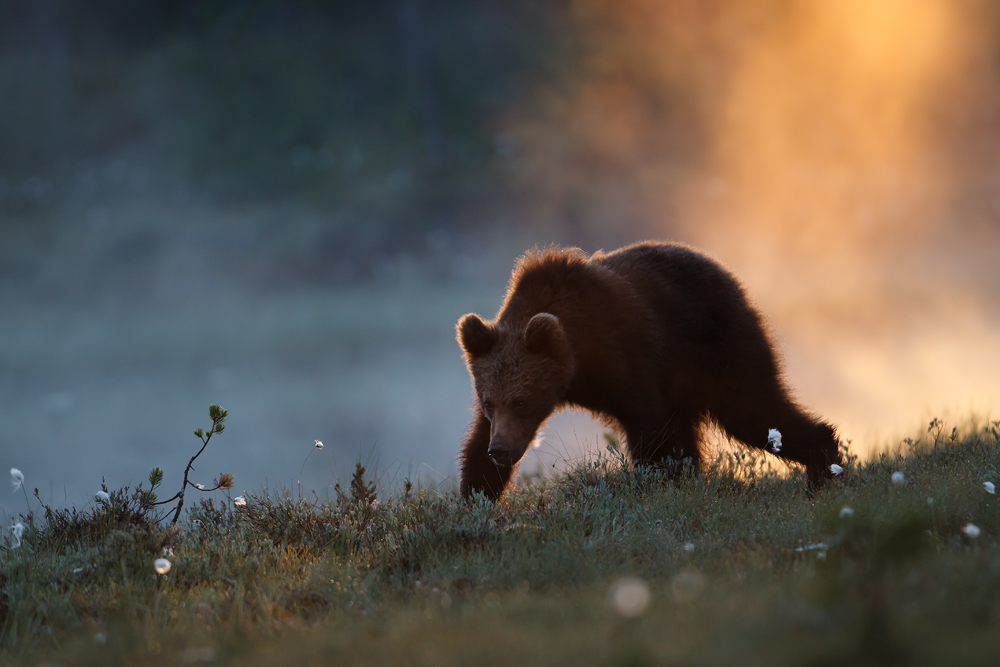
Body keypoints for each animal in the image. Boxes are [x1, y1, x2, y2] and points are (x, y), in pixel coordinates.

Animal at [458, 241, 844, 500]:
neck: (577, 362)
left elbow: (651, 431)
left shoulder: (627, 361)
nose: (500, 450)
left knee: (755, 411)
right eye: (490, 402)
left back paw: (823, 469)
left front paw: (658, 486)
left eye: (522, 401)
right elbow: (474, 446)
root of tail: (724, 272)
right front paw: (476, 496)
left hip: (722, 345)